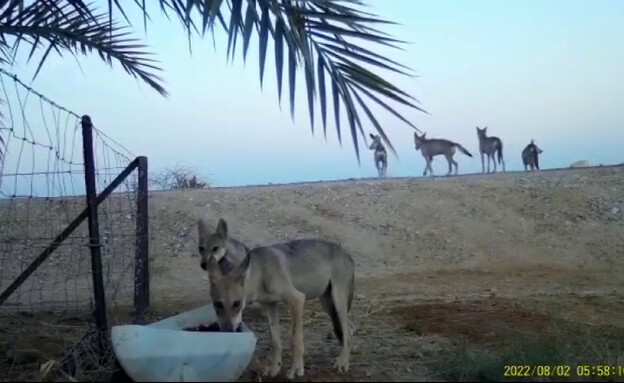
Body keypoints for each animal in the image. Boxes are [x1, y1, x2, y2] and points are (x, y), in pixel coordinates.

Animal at [197, 219, 354, 380]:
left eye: (237, 304)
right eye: (217, 305)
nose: (228, 331)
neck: (261, 272)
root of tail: (346, 253)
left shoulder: (297, 299)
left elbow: (295, 340)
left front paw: (296, 370)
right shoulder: (270, 305)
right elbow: (275, 342)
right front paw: (275, 368)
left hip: (337, 302)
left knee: (347, 334)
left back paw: (342, 363)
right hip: (328, 305)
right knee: (349, 329)